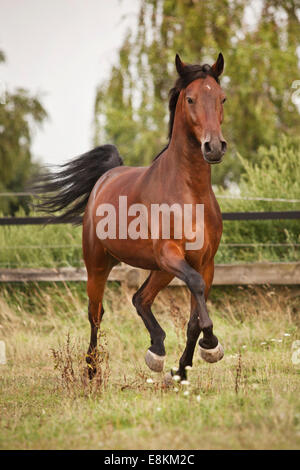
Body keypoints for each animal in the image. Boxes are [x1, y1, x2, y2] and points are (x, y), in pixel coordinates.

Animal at [35, 52, 227, 382]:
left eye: (222, 98)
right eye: (190, 99)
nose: (213, 147)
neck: (190, 193)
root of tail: (107, 176)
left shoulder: (205, 261)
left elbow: (193, 316)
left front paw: (182, 370)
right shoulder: (170, 253)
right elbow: (196, 287)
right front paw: (211, 345)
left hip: (160, 269)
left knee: (140, 298)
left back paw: (157, 351)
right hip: (100, 265)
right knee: (96, 314)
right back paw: (91, 370)